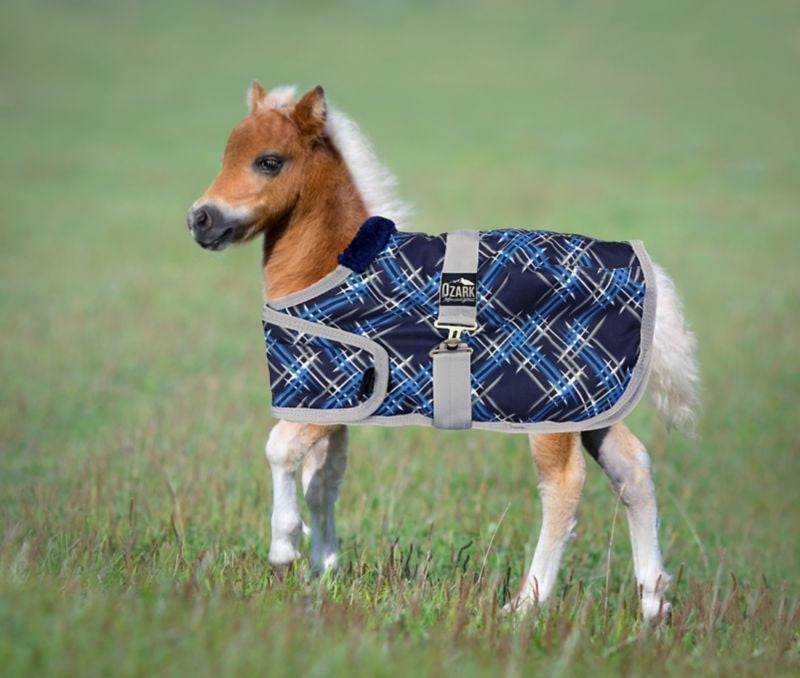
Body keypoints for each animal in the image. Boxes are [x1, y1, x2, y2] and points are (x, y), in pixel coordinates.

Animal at [186, 82, 699, 620]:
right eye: (226, 154)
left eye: (269, 161)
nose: (200, 219)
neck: (333, 263)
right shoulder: (326, 404)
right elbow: (322, 480)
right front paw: (323, 573)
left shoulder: (342, 388)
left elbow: (280, 449)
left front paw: (285, 548)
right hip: (595, 403)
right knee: (632, 469)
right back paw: (653, 604)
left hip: (552, 407)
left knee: (564, 486)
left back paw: (525, 605)